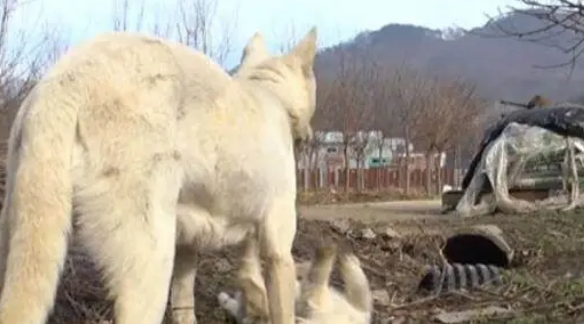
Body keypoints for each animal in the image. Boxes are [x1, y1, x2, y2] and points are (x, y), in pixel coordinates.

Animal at [0, 26, 318, 324]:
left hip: (19, 231)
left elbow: (204, 293)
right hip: (151, 260)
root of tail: (65, 82)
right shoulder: (279, 248)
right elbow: (282, 307)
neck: (270, 94)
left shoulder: (196, 242)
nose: (310, 136)